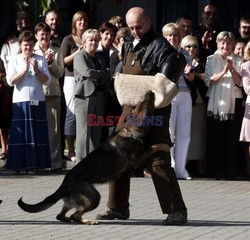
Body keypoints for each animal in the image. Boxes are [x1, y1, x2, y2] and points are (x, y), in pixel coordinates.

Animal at [17, 91, 170, 224]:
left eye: (140, 103)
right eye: (145, 104)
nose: (150, 91)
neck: (131, 131)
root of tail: (65, 184)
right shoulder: (135, 160)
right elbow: (153, 146)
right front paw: (165, 146)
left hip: (73, 202)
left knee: (62, 215)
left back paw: (72, 219)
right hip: (95, 196)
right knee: (74, 215)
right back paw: (88, 221)